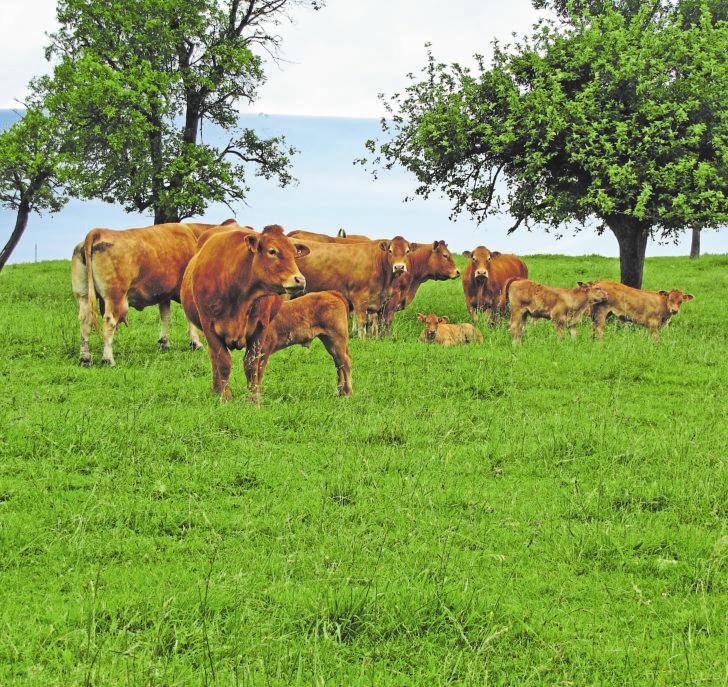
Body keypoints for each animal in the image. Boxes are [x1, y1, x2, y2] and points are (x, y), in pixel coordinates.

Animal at [70, 223, 237, 368]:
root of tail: (98, 232)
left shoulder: (163, 294)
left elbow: (165, 316)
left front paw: (165, 342)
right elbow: (189, 318)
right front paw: (195, 343)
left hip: (83, 295)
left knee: (85, 322)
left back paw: (85, 358)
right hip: (114, 297)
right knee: (109, 322)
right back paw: (108, 359)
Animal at [182, 223, 310, 400]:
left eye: (294, 254)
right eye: (272, 251)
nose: (300, 280)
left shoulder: (260, 328)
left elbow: (251, 364)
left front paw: (254, 400)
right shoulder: (209, 326)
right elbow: (222, 362)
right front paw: (225, 398)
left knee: (260, 364)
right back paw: (217, 389)